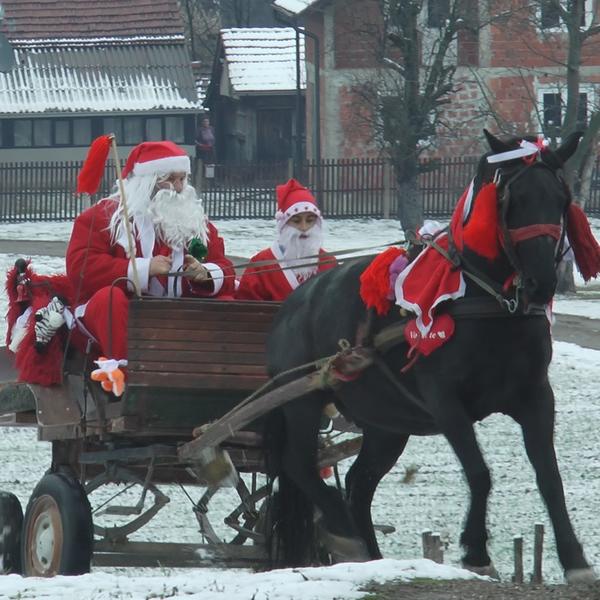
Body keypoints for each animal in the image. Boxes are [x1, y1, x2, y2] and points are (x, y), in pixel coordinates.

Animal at [263, 129, 596, 583]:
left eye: (561, 198)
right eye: (511, 199)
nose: (543, 282)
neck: (489, 303)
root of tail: (293, 304)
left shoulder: (536, 397)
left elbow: (549, 476)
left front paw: (575, 559)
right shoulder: (445, 401)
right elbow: (479, 472)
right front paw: (477, 551)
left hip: (386, 422)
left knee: (359, 482)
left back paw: (371, 552)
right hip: (301, 401)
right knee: (300, 465)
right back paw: (345, 531)